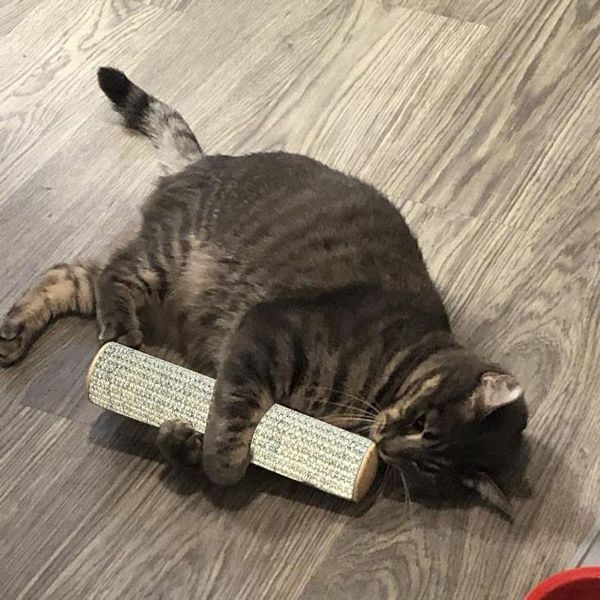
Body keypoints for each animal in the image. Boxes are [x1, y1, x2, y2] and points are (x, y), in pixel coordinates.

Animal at [0, 67, 528, 516]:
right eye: (421, 426)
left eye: (424, 465)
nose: (387, 444)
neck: (388, 378)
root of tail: (206, 160)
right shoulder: (265, 334)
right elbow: (230, 426)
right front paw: (219, 460)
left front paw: (182, 444)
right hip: (170, 255)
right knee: (114, 274)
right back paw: (118, 332)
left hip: (155, 287)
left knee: (71, 272)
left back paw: (11, 332)